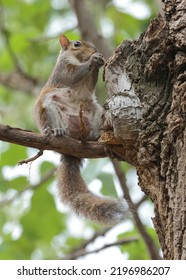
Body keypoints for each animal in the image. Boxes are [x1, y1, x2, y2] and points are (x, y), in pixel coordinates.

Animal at [33, 34, 128, 225]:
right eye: (76, 44)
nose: (94, 51)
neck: (77, 59)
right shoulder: (63, 70)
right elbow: (73, 74)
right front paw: (93, 60)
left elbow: (90, 83)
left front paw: (98, 62)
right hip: (50, 106)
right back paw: (56, 132)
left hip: (94, 111)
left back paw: (96, 136)